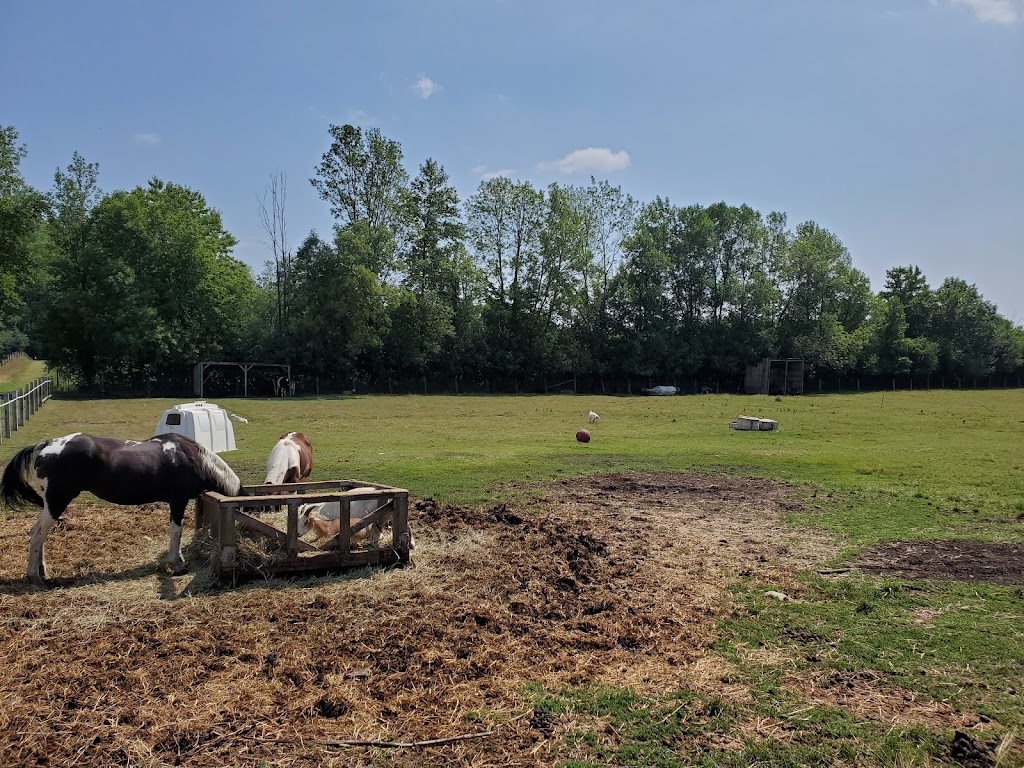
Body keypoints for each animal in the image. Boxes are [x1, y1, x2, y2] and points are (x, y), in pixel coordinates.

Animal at [0, 434, 247, 581]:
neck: (193, 457)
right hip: (57, 502)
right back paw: (34, 576)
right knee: (37, 534)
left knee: (38, 534)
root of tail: (46, 445)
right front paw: (176, 565)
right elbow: (176, 532)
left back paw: (42, 571)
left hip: (50, 505)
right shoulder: (178, 501)